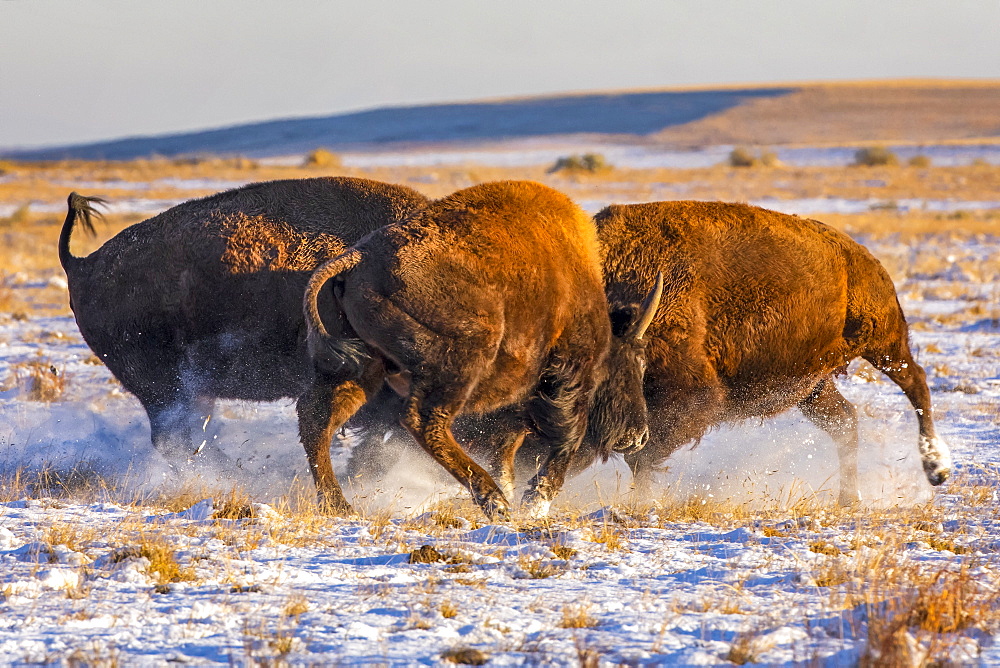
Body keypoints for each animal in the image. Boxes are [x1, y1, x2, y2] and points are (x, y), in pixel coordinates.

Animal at [304, 180, 664, 520]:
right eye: (635, 363)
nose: (638, 436)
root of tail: (358, 258)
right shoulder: (567, 378)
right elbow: (567, 438)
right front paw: (535, 502)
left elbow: (507, 450)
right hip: (461, 362)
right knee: (424, 421)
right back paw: (494, 502)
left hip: (361, 368)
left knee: (319, 421)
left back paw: (340, 506)